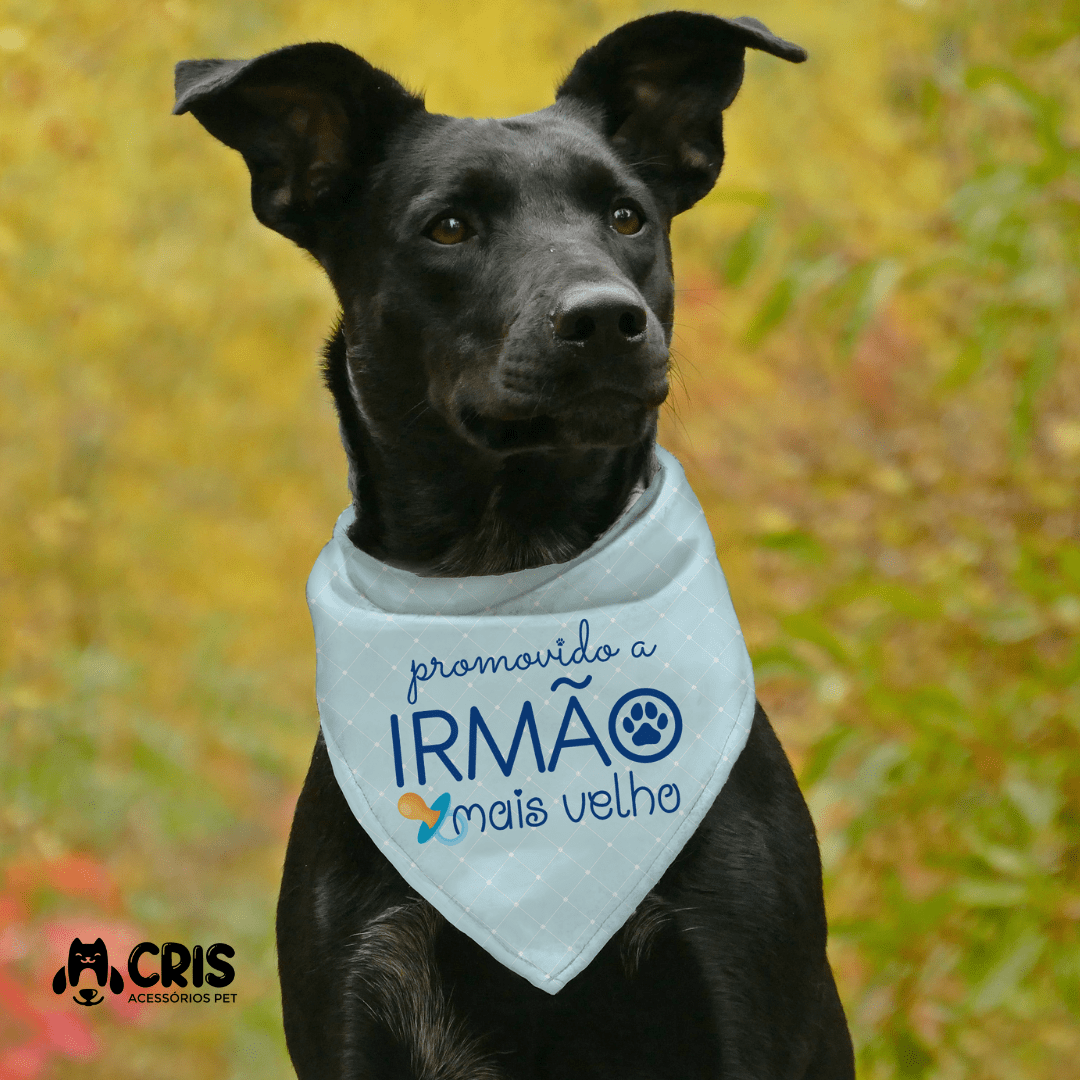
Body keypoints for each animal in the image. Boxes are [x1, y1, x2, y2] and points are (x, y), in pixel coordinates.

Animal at [174, 10, 851, 1080]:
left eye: (627, 217)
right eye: (448, 227)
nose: (606, 319)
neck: (511, 568)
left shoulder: (742, 996)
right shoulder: (361, 994)